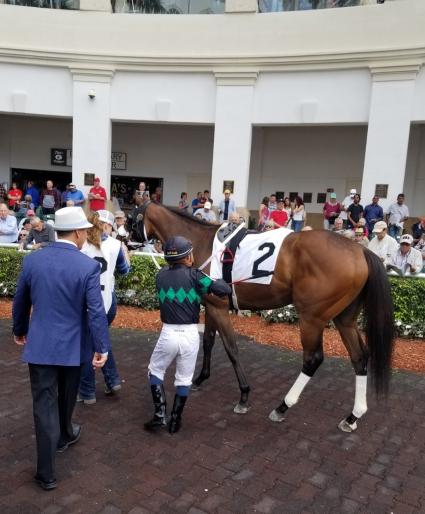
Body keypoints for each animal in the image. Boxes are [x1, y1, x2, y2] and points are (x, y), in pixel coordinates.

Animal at [140, 200, 394, 428]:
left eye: (134, 216)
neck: (200, 242)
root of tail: (361, 250)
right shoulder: (212, 304)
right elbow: (209, 341)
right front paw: (201, 378)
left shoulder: (218, 308)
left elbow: (231, 348)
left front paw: (244, 396)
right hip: (344, 318)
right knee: (359, 356)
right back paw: (352, 416)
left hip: (312, 317)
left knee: (312, 359)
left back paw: (282, 406)